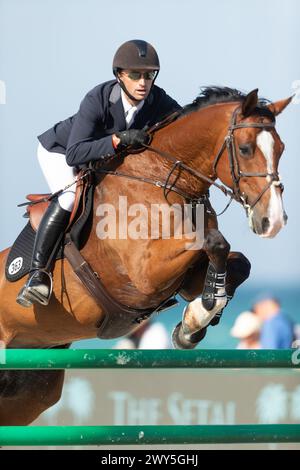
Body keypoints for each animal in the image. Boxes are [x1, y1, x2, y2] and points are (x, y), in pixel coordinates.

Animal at [0, 85, 292, 426]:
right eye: (245, 149)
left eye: (281, 148)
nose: (273, 220)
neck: (163, 179)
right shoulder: (144, 274)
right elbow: (214, 242)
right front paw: (201, 314)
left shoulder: (183, 276)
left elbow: (238, 263)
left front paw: (194, 322)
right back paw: (36, 284)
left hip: (30, 391)